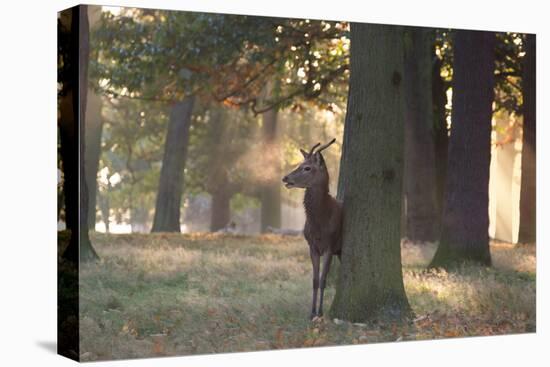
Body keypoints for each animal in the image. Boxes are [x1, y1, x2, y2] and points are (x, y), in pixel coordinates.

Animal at [282, 139, 342, 320]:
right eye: (300, 164)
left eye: (307, 168)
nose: (285, 178)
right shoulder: (312, 246)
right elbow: (315, 280)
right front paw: (312, 312)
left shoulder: (329, 245)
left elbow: (323, 280)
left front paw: (320, 312)